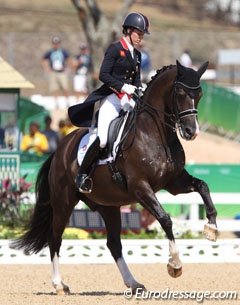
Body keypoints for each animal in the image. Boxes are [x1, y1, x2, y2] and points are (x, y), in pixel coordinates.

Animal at [13, 60, 218, 294]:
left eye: (200, 94)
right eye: (181, 92)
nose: (191, 132)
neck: (156, 134)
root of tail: (60, 149)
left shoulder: (174, 182)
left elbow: (203, 186)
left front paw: (211, 227)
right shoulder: (140, 188)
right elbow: (165, 219)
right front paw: (175, 264)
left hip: (108, 205)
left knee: (113, 244)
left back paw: (133, 283)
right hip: (64, 202)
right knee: (55, 237)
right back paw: (59, 284)